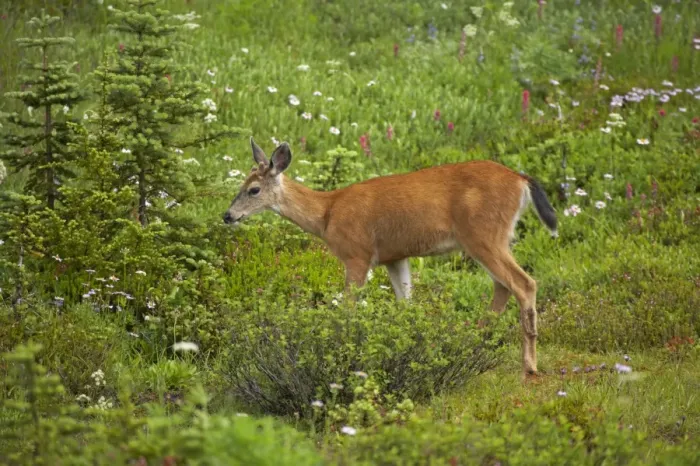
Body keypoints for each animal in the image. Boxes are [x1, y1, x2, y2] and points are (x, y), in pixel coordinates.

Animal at [224, 137, 558, 377]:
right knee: (503, 286)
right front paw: (408, 351)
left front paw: (345, 353)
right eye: (241, 185)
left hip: (483, 233)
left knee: (523, 283)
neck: (327, 214)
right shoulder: (394, 257)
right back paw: (464, 346)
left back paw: (529, 365)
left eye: (253, 190)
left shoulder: (357, 254)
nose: (227, 215)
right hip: (494, 237)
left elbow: (349, 308)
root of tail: (520, 179)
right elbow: (405, 305)